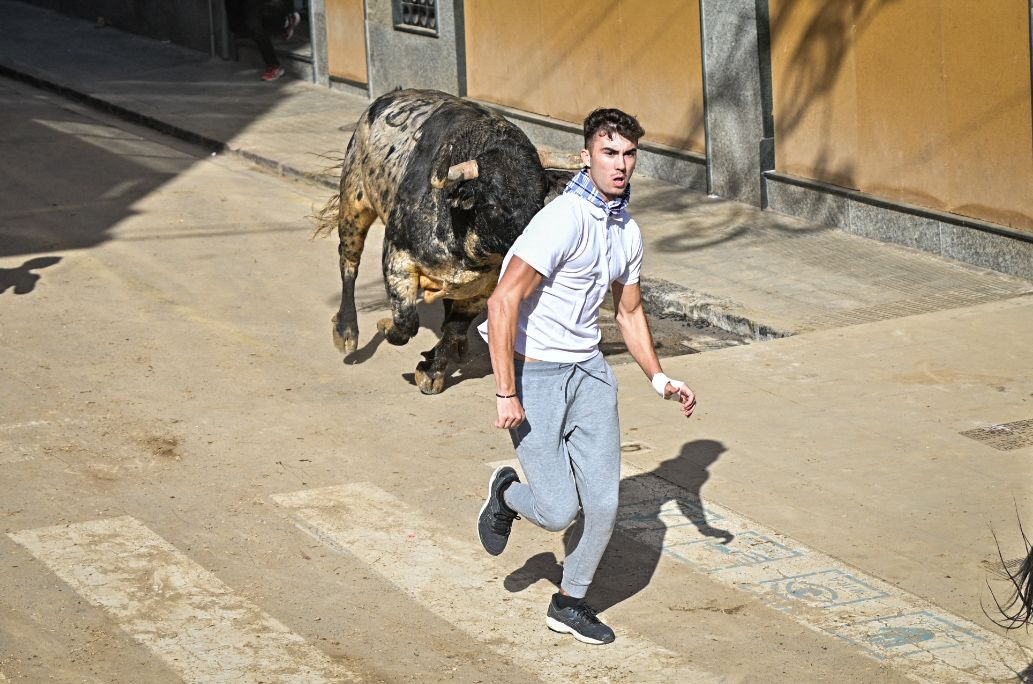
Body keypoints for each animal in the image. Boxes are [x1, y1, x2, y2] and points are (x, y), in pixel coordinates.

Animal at [309, 88, 586, 394]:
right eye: (492, 204)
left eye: (540, 202)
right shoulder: (397, 258)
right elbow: (406, 321)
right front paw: (386, 327)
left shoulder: (487, 285)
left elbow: (455, 326)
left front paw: (432, 369)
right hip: (354, 199)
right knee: (349, 262)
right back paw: (346, 330)